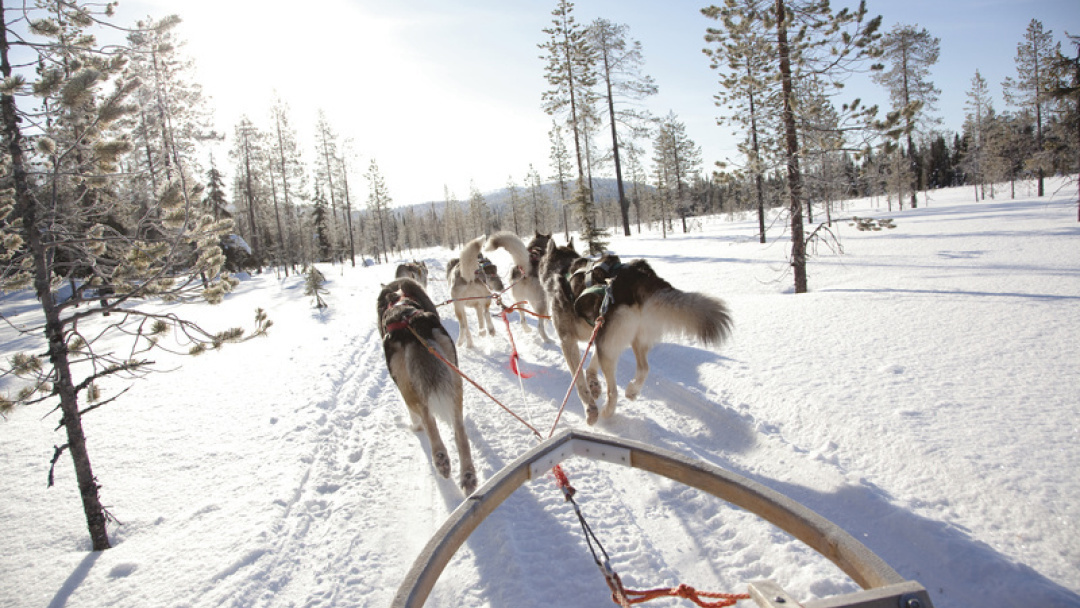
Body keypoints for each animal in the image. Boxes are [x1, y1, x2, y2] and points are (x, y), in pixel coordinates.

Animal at [377, 277, 477, 495]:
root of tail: (410, 325)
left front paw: (415, 427)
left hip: (407, 386)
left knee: (426, 415)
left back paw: (440, 457)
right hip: (454, 375)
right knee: (459, 430)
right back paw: (468, 475)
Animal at [539, 238, 733, 424]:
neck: (562, 268)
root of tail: (640, 276)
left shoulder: (569, 341)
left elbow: (579, 382)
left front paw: (590, 406)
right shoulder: (598, 333)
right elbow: (592, 365)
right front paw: (593, 382)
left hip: (608, 347)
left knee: (614, 391)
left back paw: (607, 411)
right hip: (631, 339)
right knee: (644, 368)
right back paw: (631, 390)